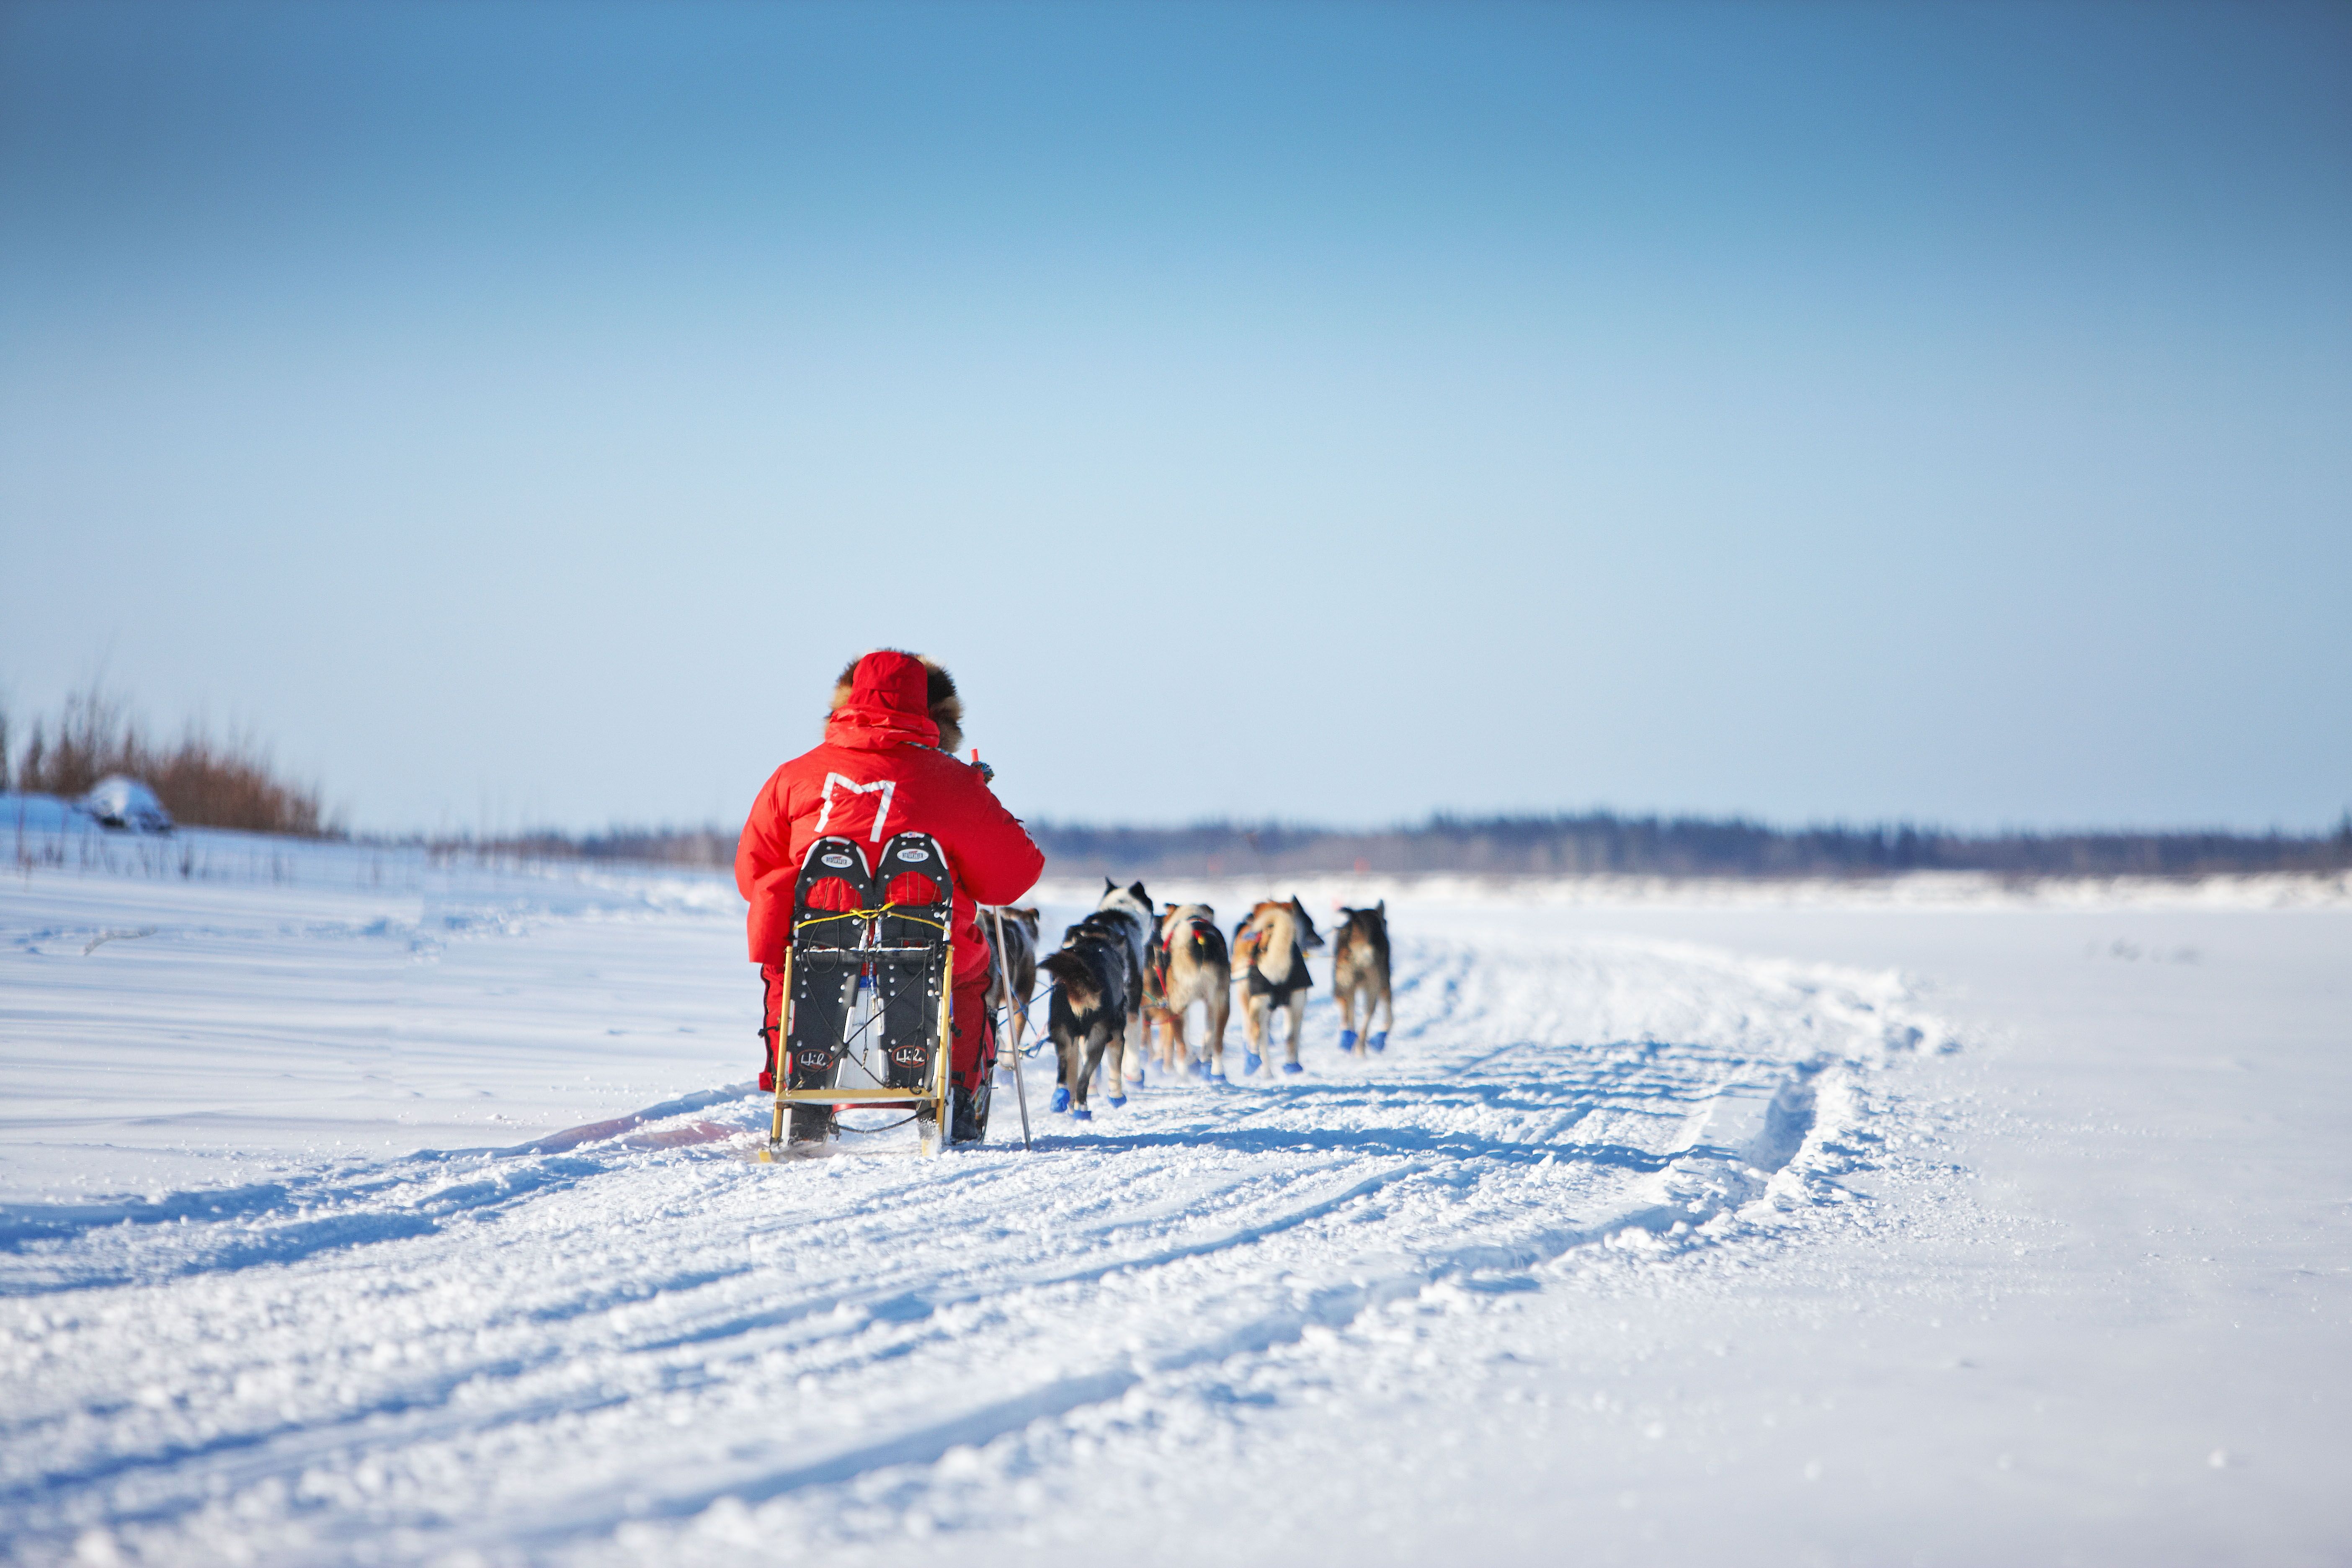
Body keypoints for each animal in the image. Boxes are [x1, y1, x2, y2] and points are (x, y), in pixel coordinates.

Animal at [1039, 907, 1138, 1114]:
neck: (1093, 942)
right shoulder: (1117, 1035)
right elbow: (1115, 1066)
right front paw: (1117, 1097)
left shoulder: (1076, 1040)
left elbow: (1072, 1072)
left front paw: (1070, 1104)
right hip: (1098, 1037)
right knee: (1084, 1078)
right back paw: (1083, 1107)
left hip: (1062, 1034)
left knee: (1064, 1074)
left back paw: (1061, 1099)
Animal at [1148, 907, 1242, 1081]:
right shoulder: (1209, 1004)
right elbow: (1209, 1034)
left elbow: (1185, 1038)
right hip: (1221, 1002)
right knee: (1217, 1042)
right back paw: (1217, 1071)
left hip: (1177, 1005)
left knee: (1182, 1047)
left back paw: (1183, 1076)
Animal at [1232, 903, 1326, 1072]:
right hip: (1291, 1005)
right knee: (1287, 1037)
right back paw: (1290, 1068)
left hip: (1259, 1004)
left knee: (1257, 1034)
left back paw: (1255, 1064)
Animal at [1336, 903, 1383, 1063]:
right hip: (1369, 988)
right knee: (1363, 1016)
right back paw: (1356, 1046)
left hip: (1349, 984)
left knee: (1349, 1013)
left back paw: (1349, 1041)